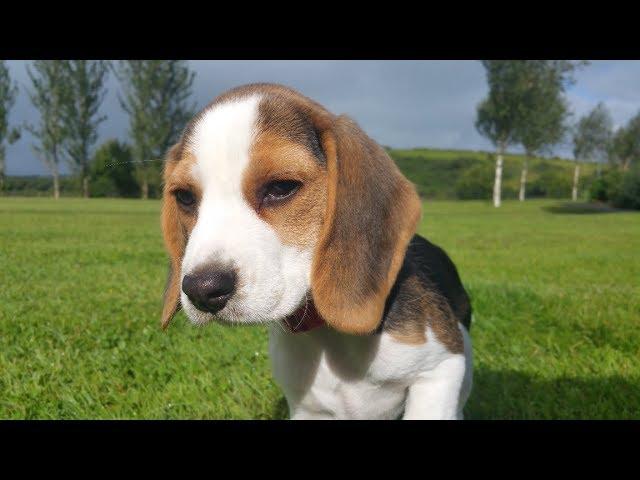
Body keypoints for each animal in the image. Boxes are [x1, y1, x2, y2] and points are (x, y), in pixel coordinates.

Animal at [160, 83, 470, 420]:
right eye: (185, 197)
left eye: (281, 187)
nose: (202, 289)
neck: (328, 336)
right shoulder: (306, 407)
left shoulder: (441, 370)